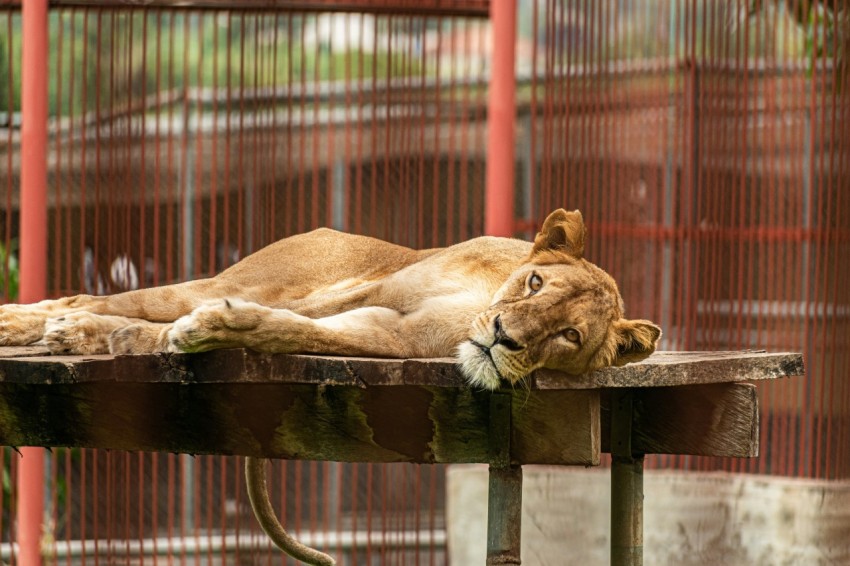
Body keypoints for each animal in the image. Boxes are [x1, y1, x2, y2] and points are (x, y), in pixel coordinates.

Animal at [0, 209, 660, 565]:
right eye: (535, 282)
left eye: (570, 335)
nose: (504, 338)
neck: (481, 299)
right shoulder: (366, 289)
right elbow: (285, 315)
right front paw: (170, 332)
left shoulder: (387, 332)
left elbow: (288, 329)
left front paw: (203, 331)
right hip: (249, 276)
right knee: (97, 297)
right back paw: (40, 324)